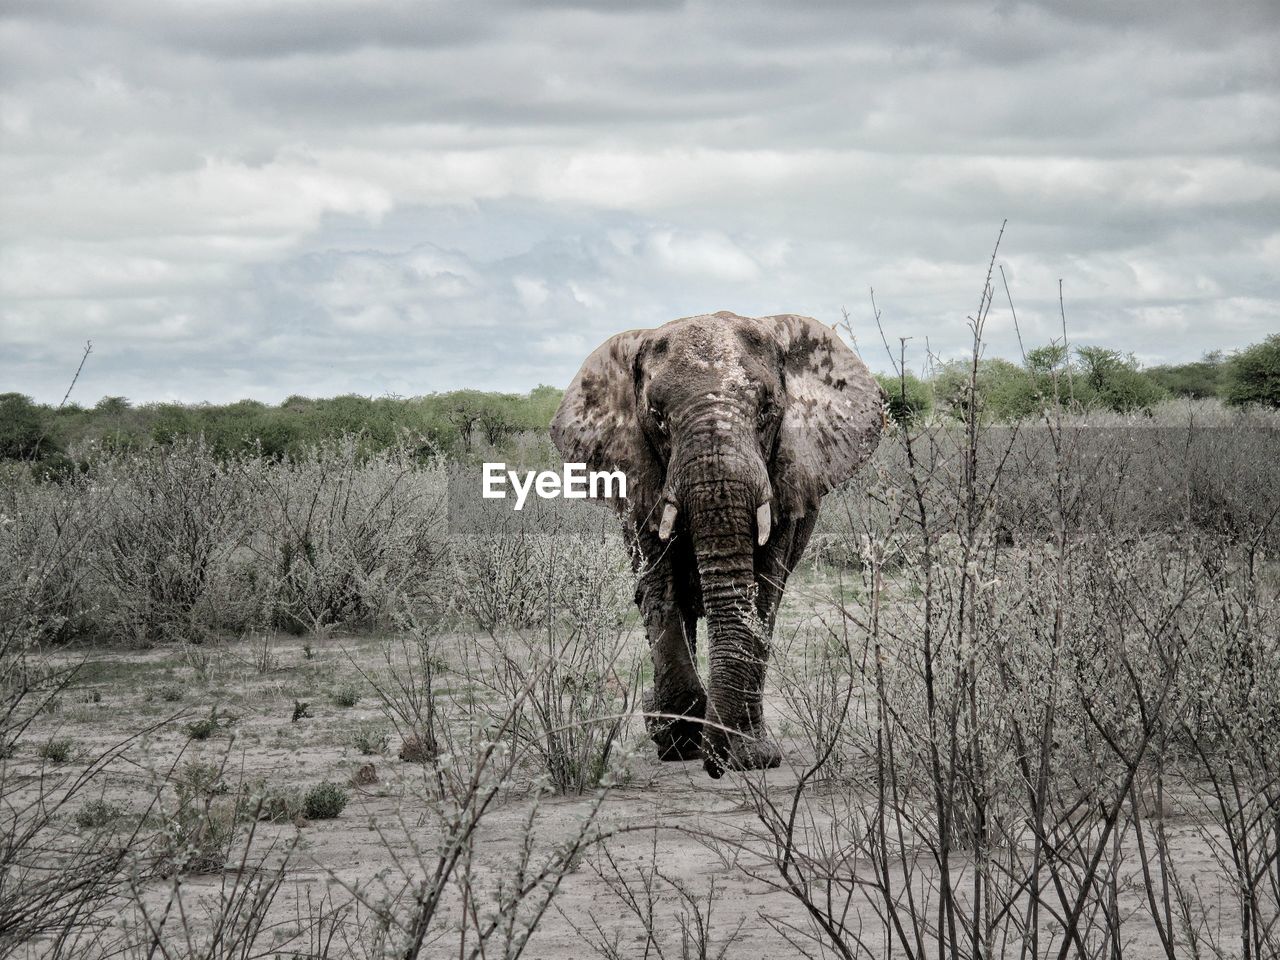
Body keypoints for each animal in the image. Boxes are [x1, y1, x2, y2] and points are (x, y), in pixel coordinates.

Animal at [555, 312, 885, 778]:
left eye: (767, 410)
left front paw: (749, 758)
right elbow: (659, 589)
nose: (716, 766)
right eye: (657, 417)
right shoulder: (639, 477)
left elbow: (762, 594)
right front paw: (679, 739)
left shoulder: (785, 478)